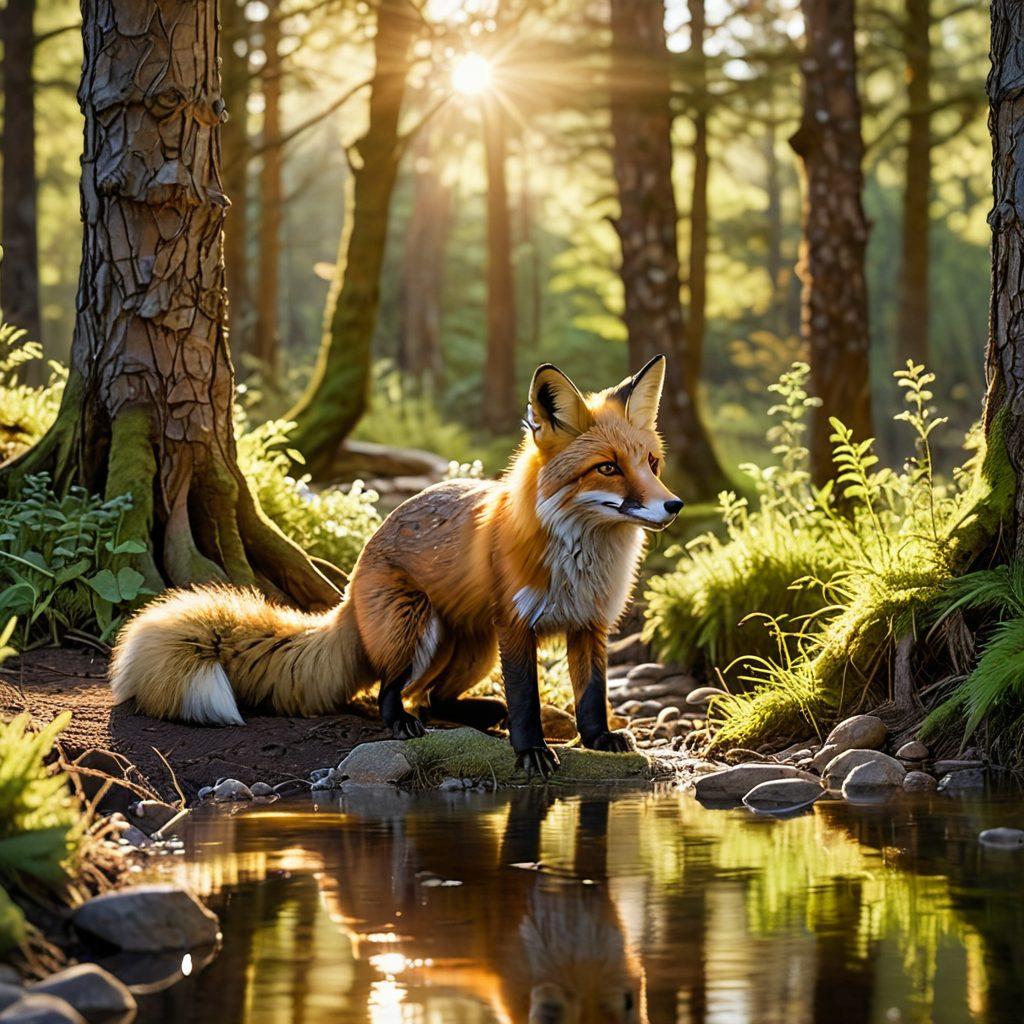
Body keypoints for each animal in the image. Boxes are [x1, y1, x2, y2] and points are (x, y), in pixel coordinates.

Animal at [109, 355, 683, 776]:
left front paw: (599, 739)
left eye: (652, 463)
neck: (581, 562)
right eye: (607, 468)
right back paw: (402, 724)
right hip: (417, 627)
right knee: (394, 690)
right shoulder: (516, 624)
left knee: (434, 697)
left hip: (474, 649)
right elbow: (525, 698)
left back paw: (479, 714)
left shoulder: (590, 624)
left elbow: (592, 695)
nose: (674, 505)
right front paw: (530, 750)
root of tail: (351, 582)